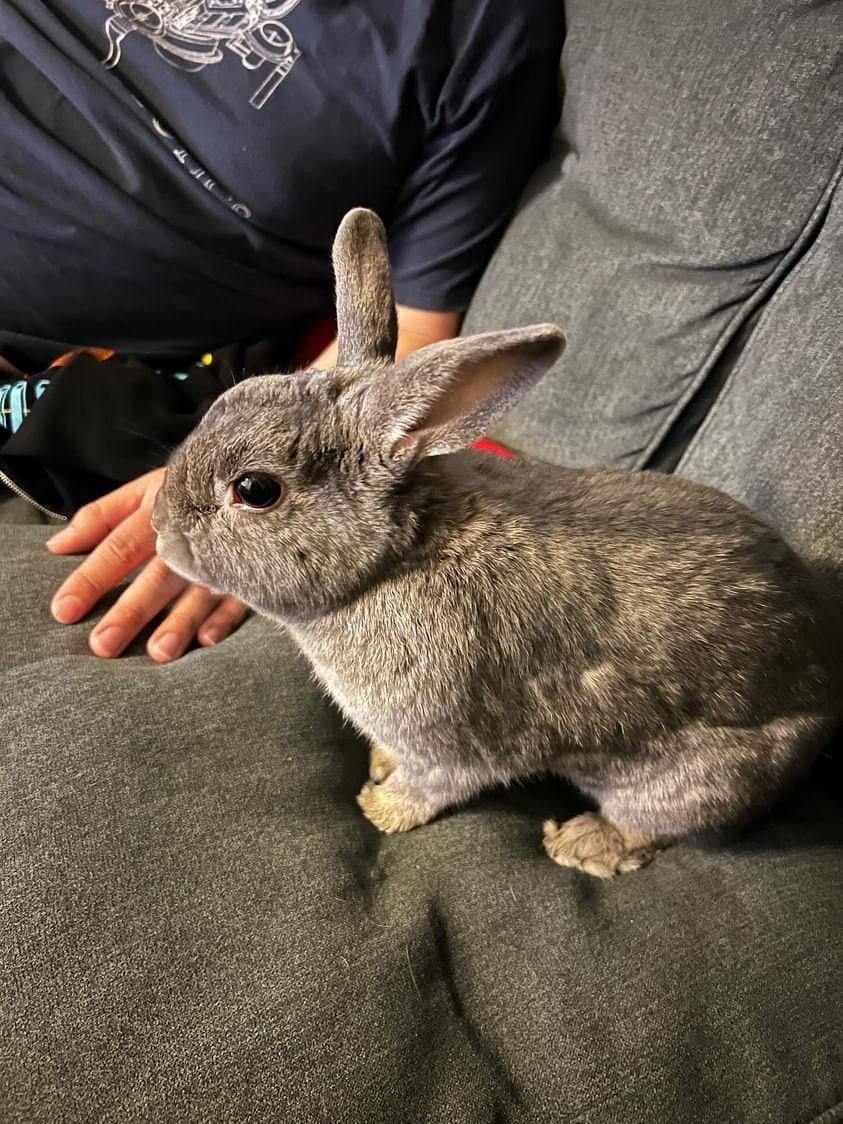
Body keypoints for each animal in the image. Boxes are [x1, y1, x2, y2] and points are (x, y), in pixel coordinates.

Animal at [153, 209, 843, 876]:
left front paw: (380, 808)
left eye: (255, 489)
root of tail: (823, 704)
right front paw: (379, 766)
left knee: (657, 827)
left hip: (682, 781)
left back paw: (582, 845)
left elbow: (434, 786)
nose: (160, 529)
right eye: (230, 397)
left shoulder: (452, 743)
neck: (400, 556)